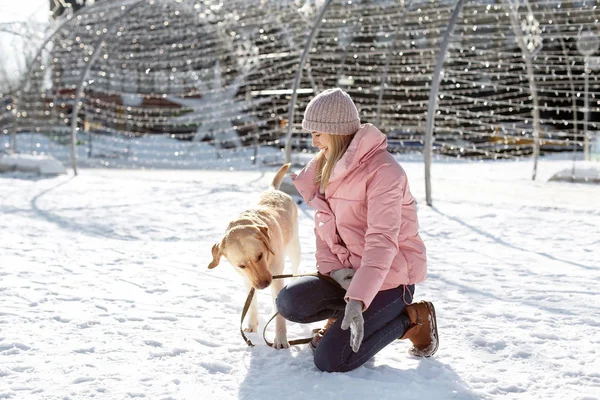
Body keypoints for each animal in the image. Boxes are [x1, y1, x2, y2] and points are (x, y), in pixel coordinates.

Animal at [209, 164, 300, 348]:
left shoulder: (276, 277)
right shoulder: (247, 279)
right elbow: (251, 305)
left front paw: (280, 339)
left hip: (295, 248)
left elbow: (279, 314)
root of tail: (274, 190)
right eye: (241, 265)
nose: (264, 284)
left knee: (295, 268)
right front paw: (251, 325)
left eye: (260, 255)